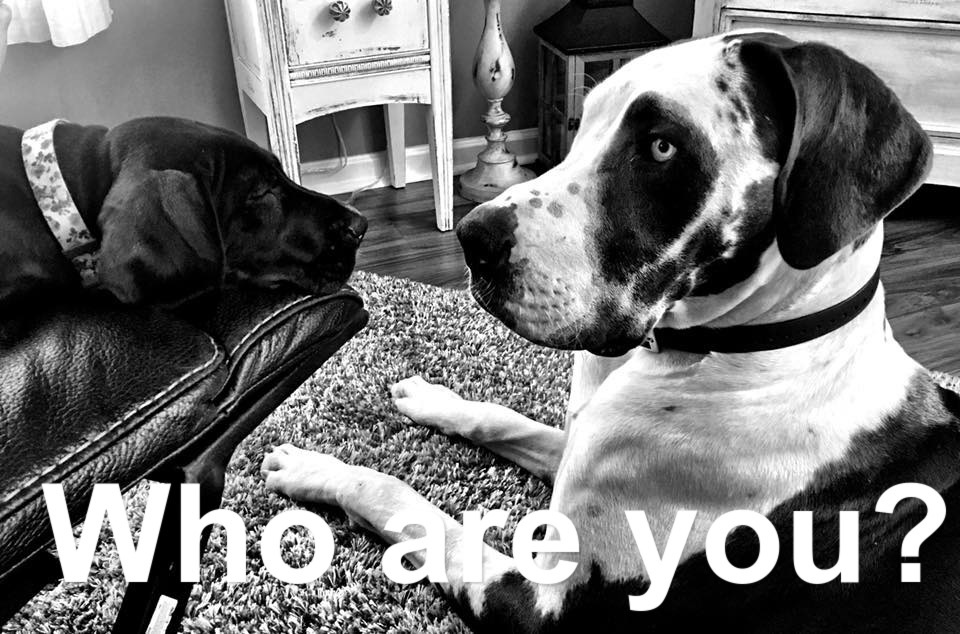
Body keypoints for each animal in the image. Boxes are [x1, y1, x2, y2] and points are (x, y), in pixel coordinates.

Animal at [262, 32, 960, 628]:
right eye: (586, 122)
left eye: (662, 146)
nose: (470, 237)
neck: (736, 352)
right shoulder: (583, 454)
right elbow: (506, 419)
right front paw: (434, 399)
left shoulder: (543, 607)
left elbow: (414, 507)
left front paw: (314, 469)